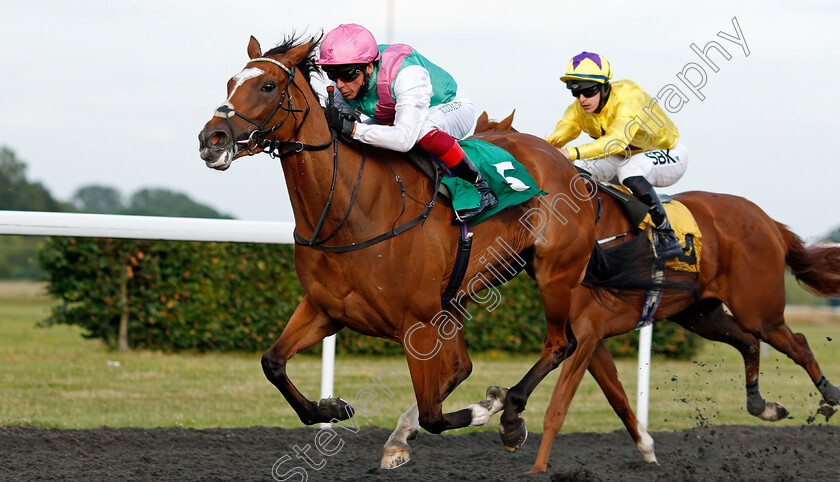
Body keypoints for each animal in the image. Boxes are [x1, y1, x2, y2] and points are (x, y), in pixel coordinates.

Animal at [198, 34, 616, 466]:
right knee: (465, 366)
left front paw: (487, 407)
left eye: (268, 86)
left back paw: (510, 412)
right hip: (464, 292)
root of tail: (567, 165)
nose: (212, 139)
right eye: (230, 82)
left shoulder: (419, 323)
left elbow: (434, 414)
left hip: (555, 272)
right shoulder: (325, 309)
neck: (352, 211)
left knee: (559, 344)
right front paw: (333, 408)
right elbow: (273, 363)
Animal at [472, 113, 840, 474]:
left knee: (796, 343)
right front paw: (647, 450)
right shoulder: (590, 338)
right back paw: (762, 405)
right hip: (701, 315)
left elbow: (558, 408)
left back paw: (830, 394)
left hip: (759, 310)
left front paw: (534, 463)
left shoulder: (588, 332)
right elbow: (618, 398)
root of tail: (767, 220)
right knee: (749, 342)